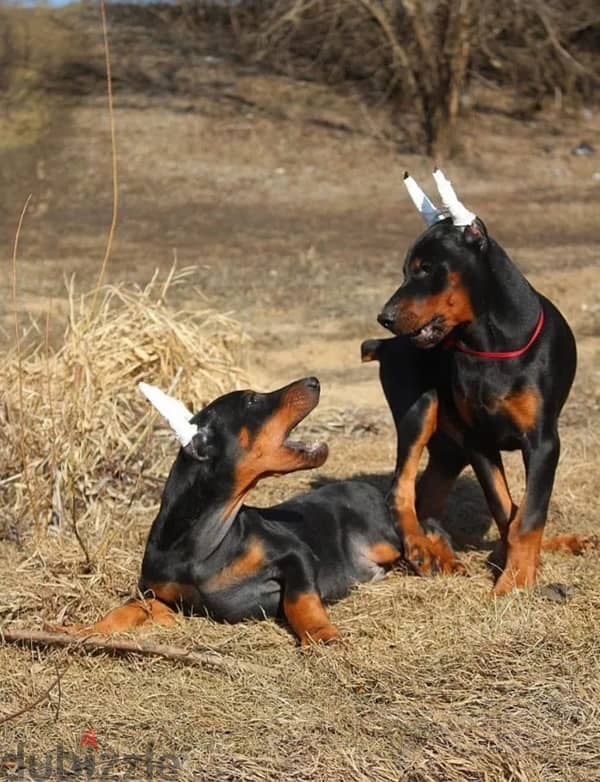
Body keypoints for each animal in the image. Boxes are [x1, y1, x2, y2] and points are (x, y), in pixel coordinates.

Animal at [61, 376, 406, 648]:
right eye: (252, 400)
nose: (314, 381)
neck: (202, 545)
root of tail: (366, 488)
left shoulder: (296, 553)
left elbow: (300, 600)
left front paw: (322, 635)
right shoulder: (163, 597)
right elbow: (128, 609)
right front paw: (82, 629)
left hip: (385, 543)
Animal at [360, 170, 592, 596]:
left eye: (426, 268)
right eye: (406, 270)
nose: (385, 317)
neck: (490, 344)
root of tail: (384, 346)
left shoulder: (543, 442)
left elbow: (526, 514)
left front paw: (516, 575)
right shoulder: (480, 441)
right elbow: (505, 510)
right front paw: (516, 578)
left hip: (450, 450)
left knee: (428, 500)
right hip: (423, 409)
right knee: (400, 490)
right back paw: (420, 550)